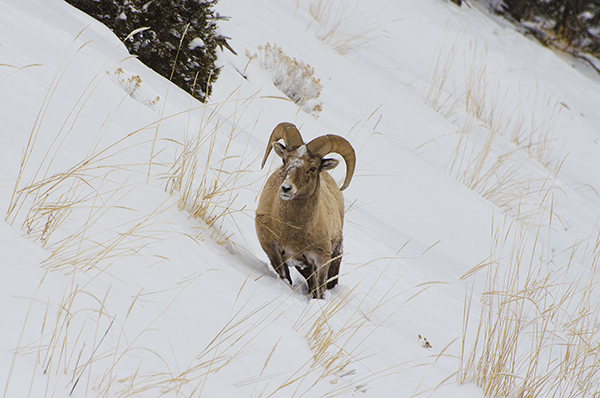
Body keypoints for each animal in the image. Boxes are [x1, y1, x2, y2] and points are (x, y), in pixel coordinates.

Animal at [254, 122, 356, 298]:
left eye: (313, 168)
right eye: (284, 160)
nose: (286, 188)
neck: (292, 230)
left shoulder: (321, 259)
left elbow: (320, 289)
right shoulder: (273, 250)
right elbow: (285, 276)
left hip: (335, 252)